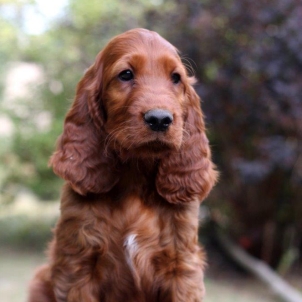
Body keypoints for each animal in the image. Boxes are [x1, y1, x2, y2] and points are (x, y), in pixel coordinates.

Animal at [27, 28, 217, 302]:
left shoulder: (182, 268)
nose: (160, 119)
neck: (135, 177)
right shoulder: (78, 266)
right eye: (126, 74)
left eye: (176, 78)